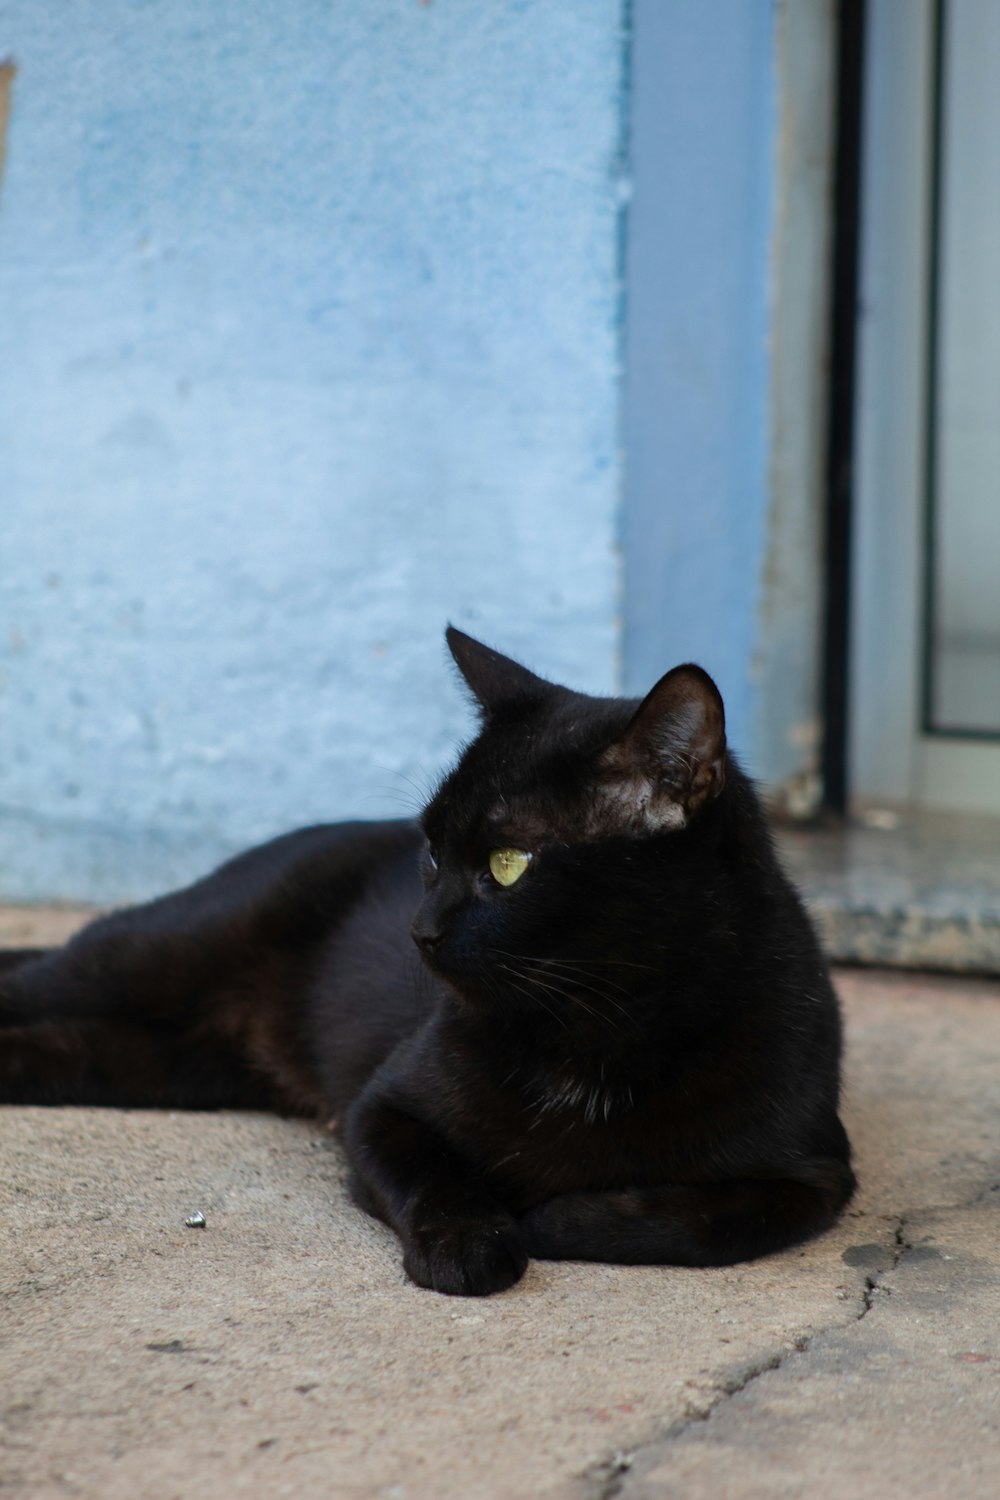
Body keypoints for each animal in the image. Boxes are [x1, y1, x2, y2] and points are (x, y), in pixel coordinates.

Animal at [3, 627, 857, 1296]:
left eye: (509, 865)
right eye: (432, 851)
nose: (419, 930)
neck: (599, 1026)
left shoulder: (816, 1175)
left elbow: (711, 1220)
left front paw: (561, 1215)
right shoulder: (380, 1109)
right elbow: (435, 1179)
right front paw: (472, 1247)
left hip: (166, 1062)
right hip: (152, 954)